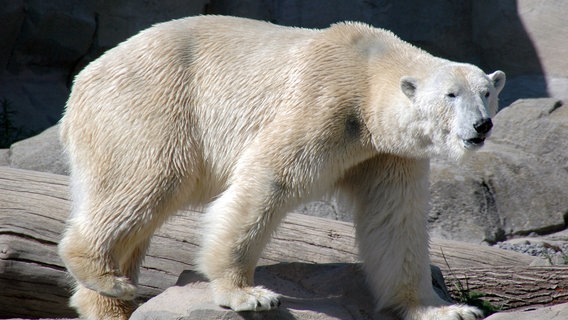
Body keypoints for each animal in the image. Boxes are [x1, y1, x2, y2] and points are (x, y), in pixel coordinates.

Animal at [57, 15, 506, 320]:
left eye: (486, 92)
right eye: (451, 94)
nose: (481, 125)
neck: (366, 70)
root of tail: (83, 81)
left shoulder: (388, 155)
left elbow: (395, 221)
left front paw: (446, 308)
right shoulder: (323, 103)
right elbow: (267, 181)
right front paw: (247, 294)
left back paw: (109, 301)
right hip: (150, 104)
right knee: (147, 180)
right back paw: (105, 275)